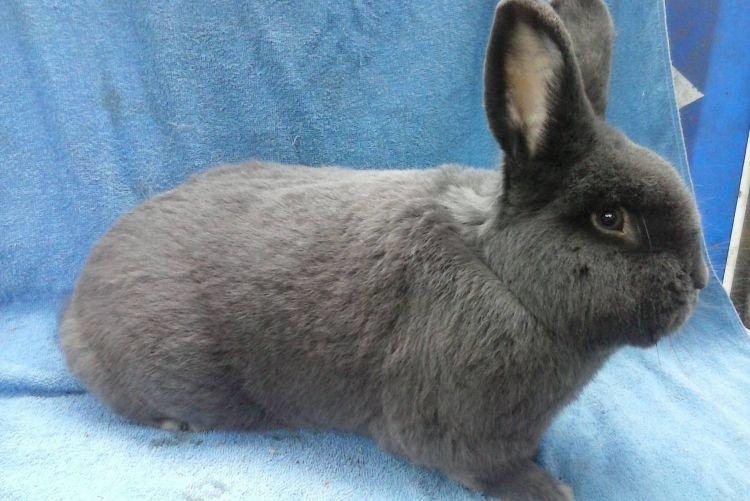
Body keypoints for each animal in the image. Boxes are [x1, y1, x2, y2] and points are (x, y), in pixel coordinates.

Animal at [59, 0, 708, 499]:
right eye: (610, 219)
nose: (700, 281)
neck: (500, 273)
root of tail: (74, 313)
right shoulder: (456, 428)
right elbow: (484, 469)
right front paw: (546, 489)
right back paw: (176, 422)